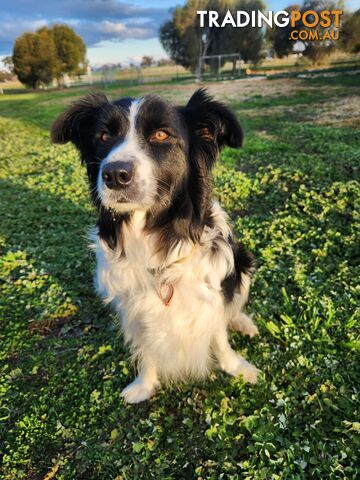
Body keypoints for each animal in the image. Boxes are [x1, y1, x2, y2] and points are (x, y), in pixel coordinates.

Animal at [51, 89, 258, 402]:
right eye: (103, 136)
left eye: (161, 135)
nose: (115, 174)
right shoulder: (132, 306)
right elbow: (146, 347)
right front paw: (145, 385)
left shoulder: (213, 291)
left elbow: (219, 336)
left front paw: (237, 367)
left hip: (242, 262)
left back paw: (242, 322)